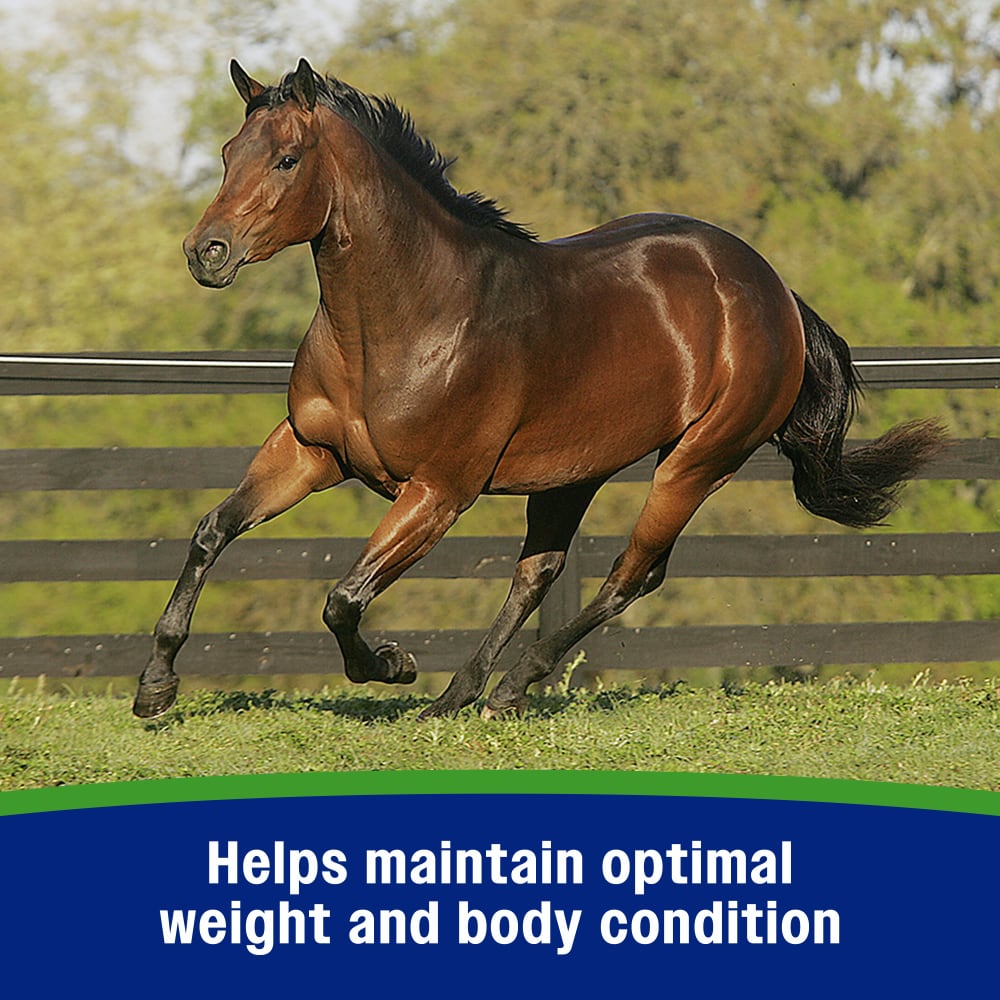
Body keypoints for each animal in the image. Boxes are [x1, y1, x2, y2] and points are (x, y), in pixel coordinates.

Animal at [133, 58, 946, 720]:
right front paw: (155, 688)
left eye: (287, 159)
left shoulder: (438, 490)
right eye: (228, 154)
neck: (408, 318)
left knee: (631, 573)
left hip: (698, 461)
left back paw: (507, 689)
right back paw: (462, 696)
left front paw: (392, 665)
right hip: (573, 471)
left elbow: (343, 599)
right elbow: (211, 532)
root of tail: (772, 288)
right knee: (541, 572)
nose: (206, 253)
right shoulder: (311, 452)